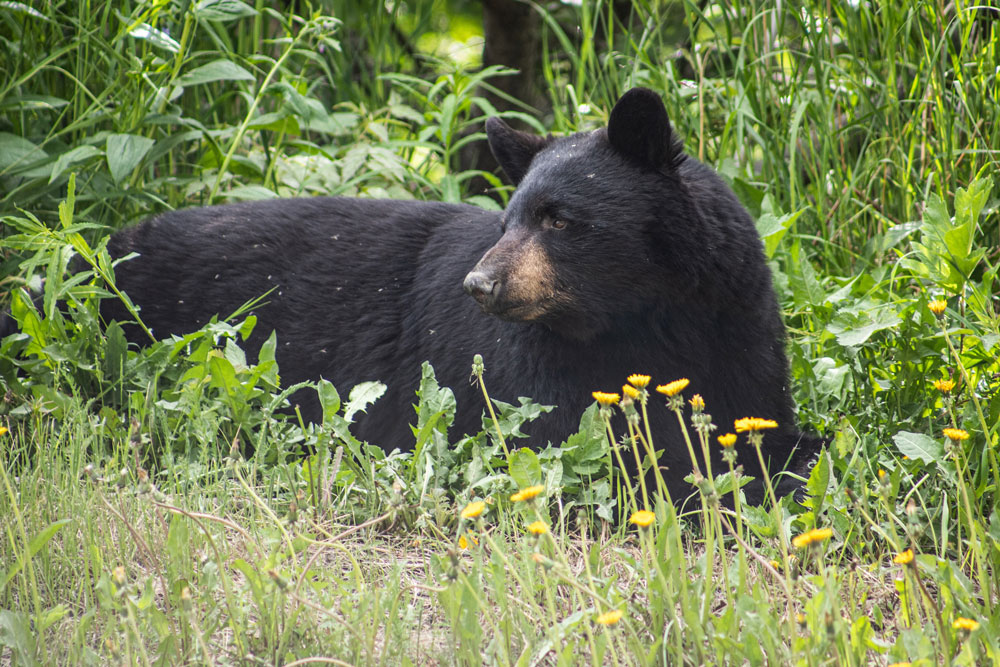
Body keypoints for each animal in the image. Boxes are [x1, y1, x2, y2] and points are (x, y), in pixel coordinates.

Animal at [48, 87, 820, 500]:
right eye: (509, 218)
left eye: (559, 218)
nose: (480, 283)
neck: (641, 322)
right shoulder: (525, 374)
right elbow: (577, 446)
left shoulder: (736, 324)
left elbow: (762, 424)